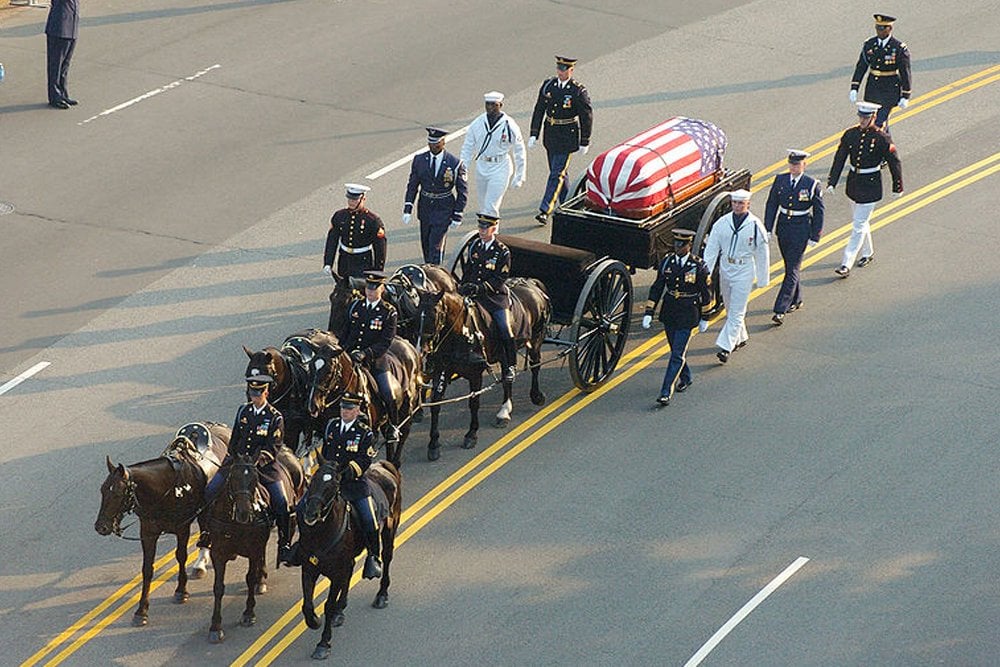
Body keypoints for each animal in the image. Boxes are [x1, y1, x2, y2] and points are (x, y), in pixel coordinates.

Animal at [93, 422, 227, 628]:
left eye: (116, 493)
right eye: (102, 490)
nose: (101, 527)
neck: (167, 489)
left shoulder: (182, 528)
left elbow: (181, 556)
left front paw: (181, 591)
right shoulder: (148, 533)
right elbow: (147, 569)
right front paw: (141, 610)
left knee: (206, 533)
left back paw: (201, 564)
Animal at [296, 462, 402, 660]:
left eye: (332, 486)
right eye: (312, 481)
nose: (311, 513)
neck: (321, 534)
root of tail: (383, 465)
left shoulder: (336, 572)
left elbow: (328, 605)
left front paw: (324, 643)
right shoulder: (309, 569)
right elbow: (307, 604)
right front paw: (314, 621)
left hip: (390, 528)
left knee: (386, 557)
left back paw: (381, 594)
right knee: (351, 569)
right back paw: (340, 610)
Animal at [312, 336, 422, 468]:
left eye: (329, 371)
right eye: (311, 367)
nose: (314, 405)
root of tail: (407, 344)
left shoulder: (368, 435)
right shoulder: (329, 434)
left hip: (407, 406)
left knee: (404, 431)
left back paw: (395, 462)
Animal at [418, 280, 552, 462]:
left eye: (434, 314)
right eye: (416, 313)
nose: (424, 349)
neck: (461, 332)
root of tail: (531, 283)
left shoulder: (475, 374)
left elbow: (474, 403)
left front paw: (471, 434)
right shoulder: (442, 370)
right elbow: (436, 404)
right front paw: (433, 444)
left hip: (536, 340)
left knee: (535, 366)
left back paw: (535, 396)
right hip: (506, 354)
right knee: (507, 378)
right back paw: (504, 411)